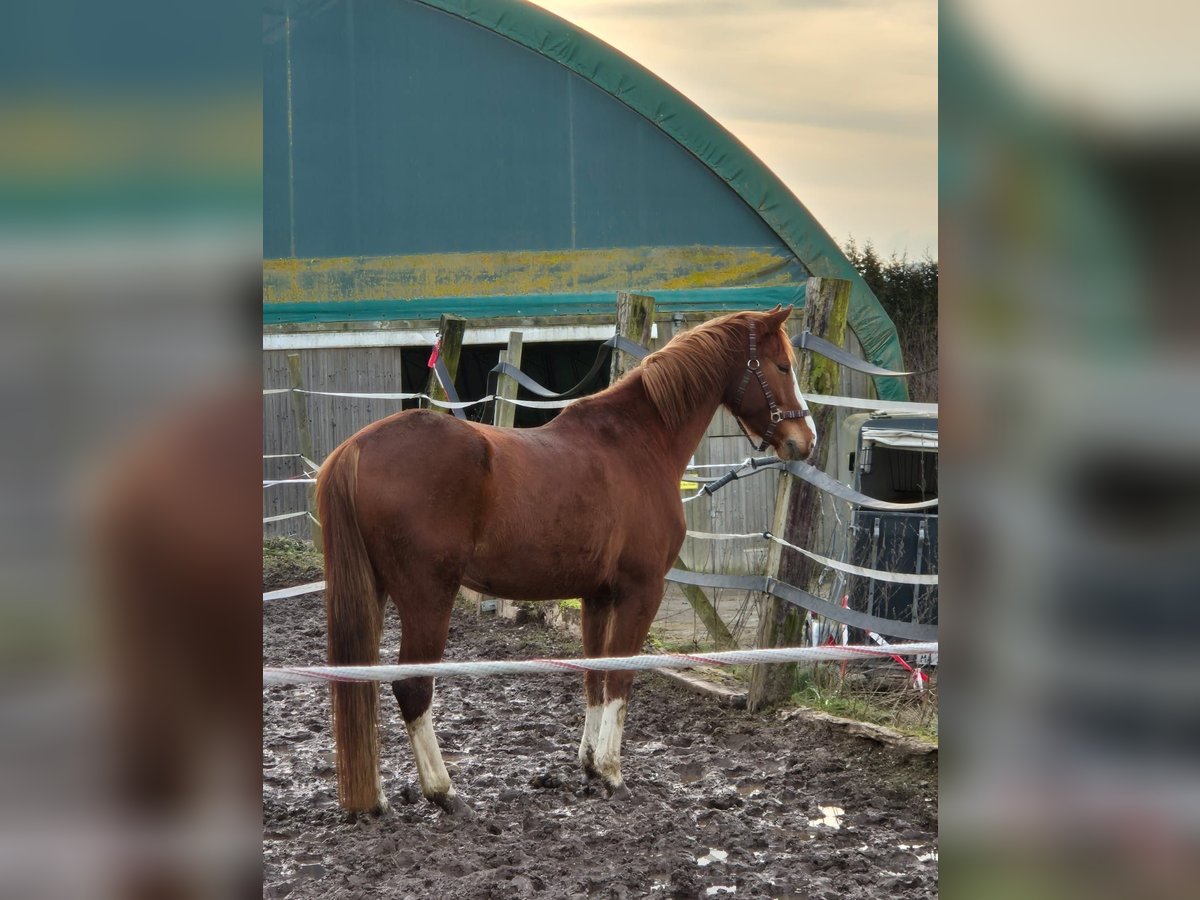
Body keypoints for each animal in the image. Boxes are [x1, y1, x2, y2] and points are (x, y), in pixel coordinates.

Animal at [314, 304, 816, 816]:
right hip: (428, 598)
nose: (805, 439)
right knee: (411, 687)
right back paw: (444, 791)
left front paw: (590, 765)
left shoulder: (597, 597)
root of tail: (356, 448)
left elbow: (595, 674)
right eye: (782, 366)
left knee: (366, 680)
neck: (637, 444)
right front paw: (613, 773)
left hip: (376, 592)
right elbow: (621, 678)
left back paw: (377, 796)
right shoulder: (642, 590)